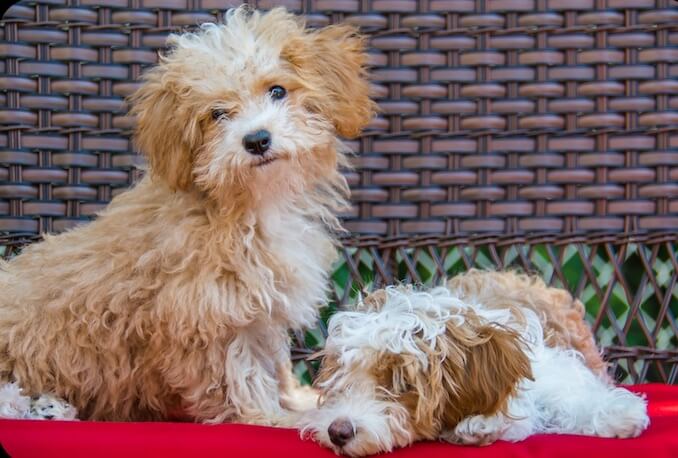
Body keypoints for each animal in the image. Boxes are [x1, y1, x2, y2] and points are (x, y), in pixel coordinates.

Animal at [0, 5, 378, 424]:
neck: (249, 205)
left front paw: (295, 400)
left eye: (277, 90)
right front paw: (269, 417)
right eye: (217, 114)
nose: (257, 140)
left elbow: (273, 362)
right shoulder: (206, 312)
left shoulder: (262, 310)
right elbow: (239, 372)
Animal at [300, 270, 652, 456]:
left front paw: (619, 413)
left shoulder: (554, 369)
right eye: (342, 380)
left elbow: (571, 396)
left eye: (400, 383)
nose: (338, 431)